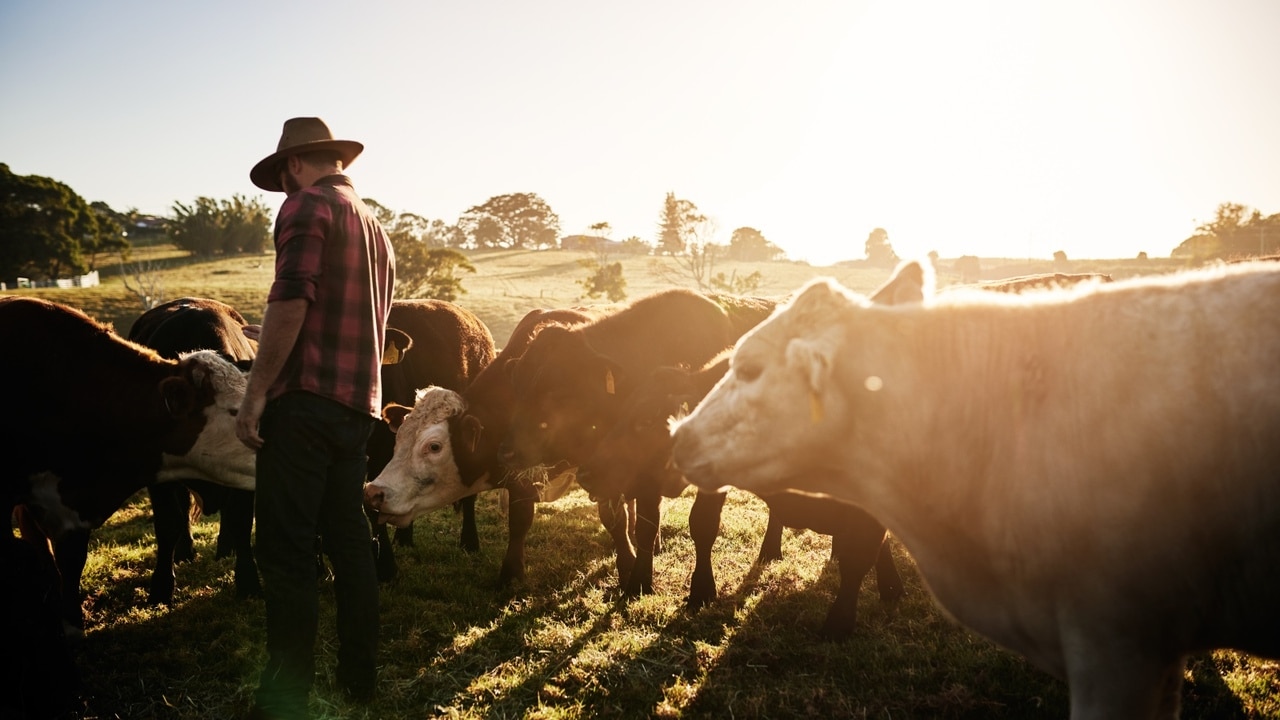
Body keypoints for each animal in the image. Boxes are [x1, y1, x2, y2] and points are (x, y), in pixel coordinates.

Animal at [127, 294, 262, 602]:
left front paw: (248, 582)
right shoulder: (159, 475)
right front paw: (161, 587)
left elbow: (240, 520)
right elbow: (168, 524)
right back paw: (185, 551)